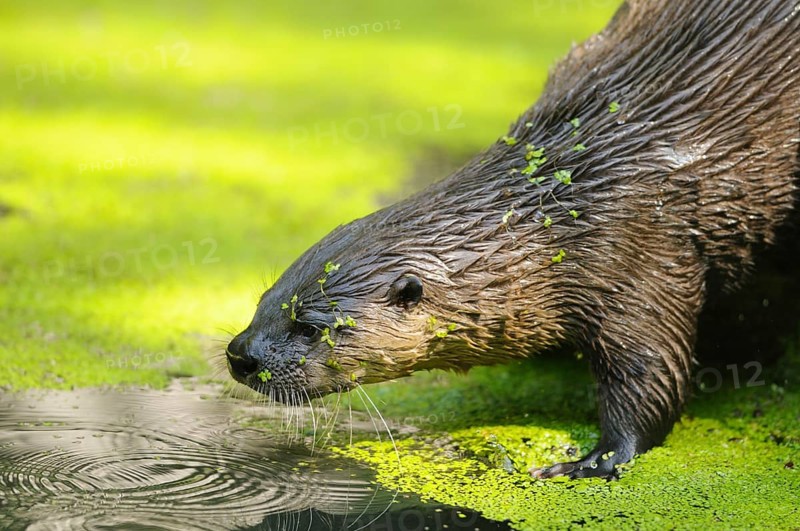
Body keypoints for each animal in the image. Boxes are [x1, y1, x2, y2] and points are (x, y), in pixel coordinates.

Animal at [227, 0, 800, 479]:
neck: (573, 203)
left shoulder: (639, 250)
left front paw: (597, 459)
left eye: (310, 327)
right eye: (265, 300)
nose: (240, 354)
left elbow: (650, 369)